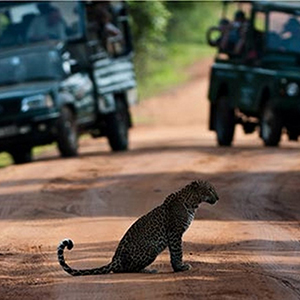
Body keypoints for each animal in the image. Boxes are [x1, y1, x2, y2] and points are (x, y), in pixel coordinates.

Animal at [57, 179, 219, 276]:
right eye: (210, 189)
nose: (218, 198)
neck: (193, 202)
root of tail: (114, 260)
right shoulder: (175, 233)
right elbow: (177, 252)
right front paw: (180, 267)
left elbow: (175, 252)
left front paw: (178, 267)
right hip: (152, 248)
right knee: (124, 270)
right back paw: (149, 270)